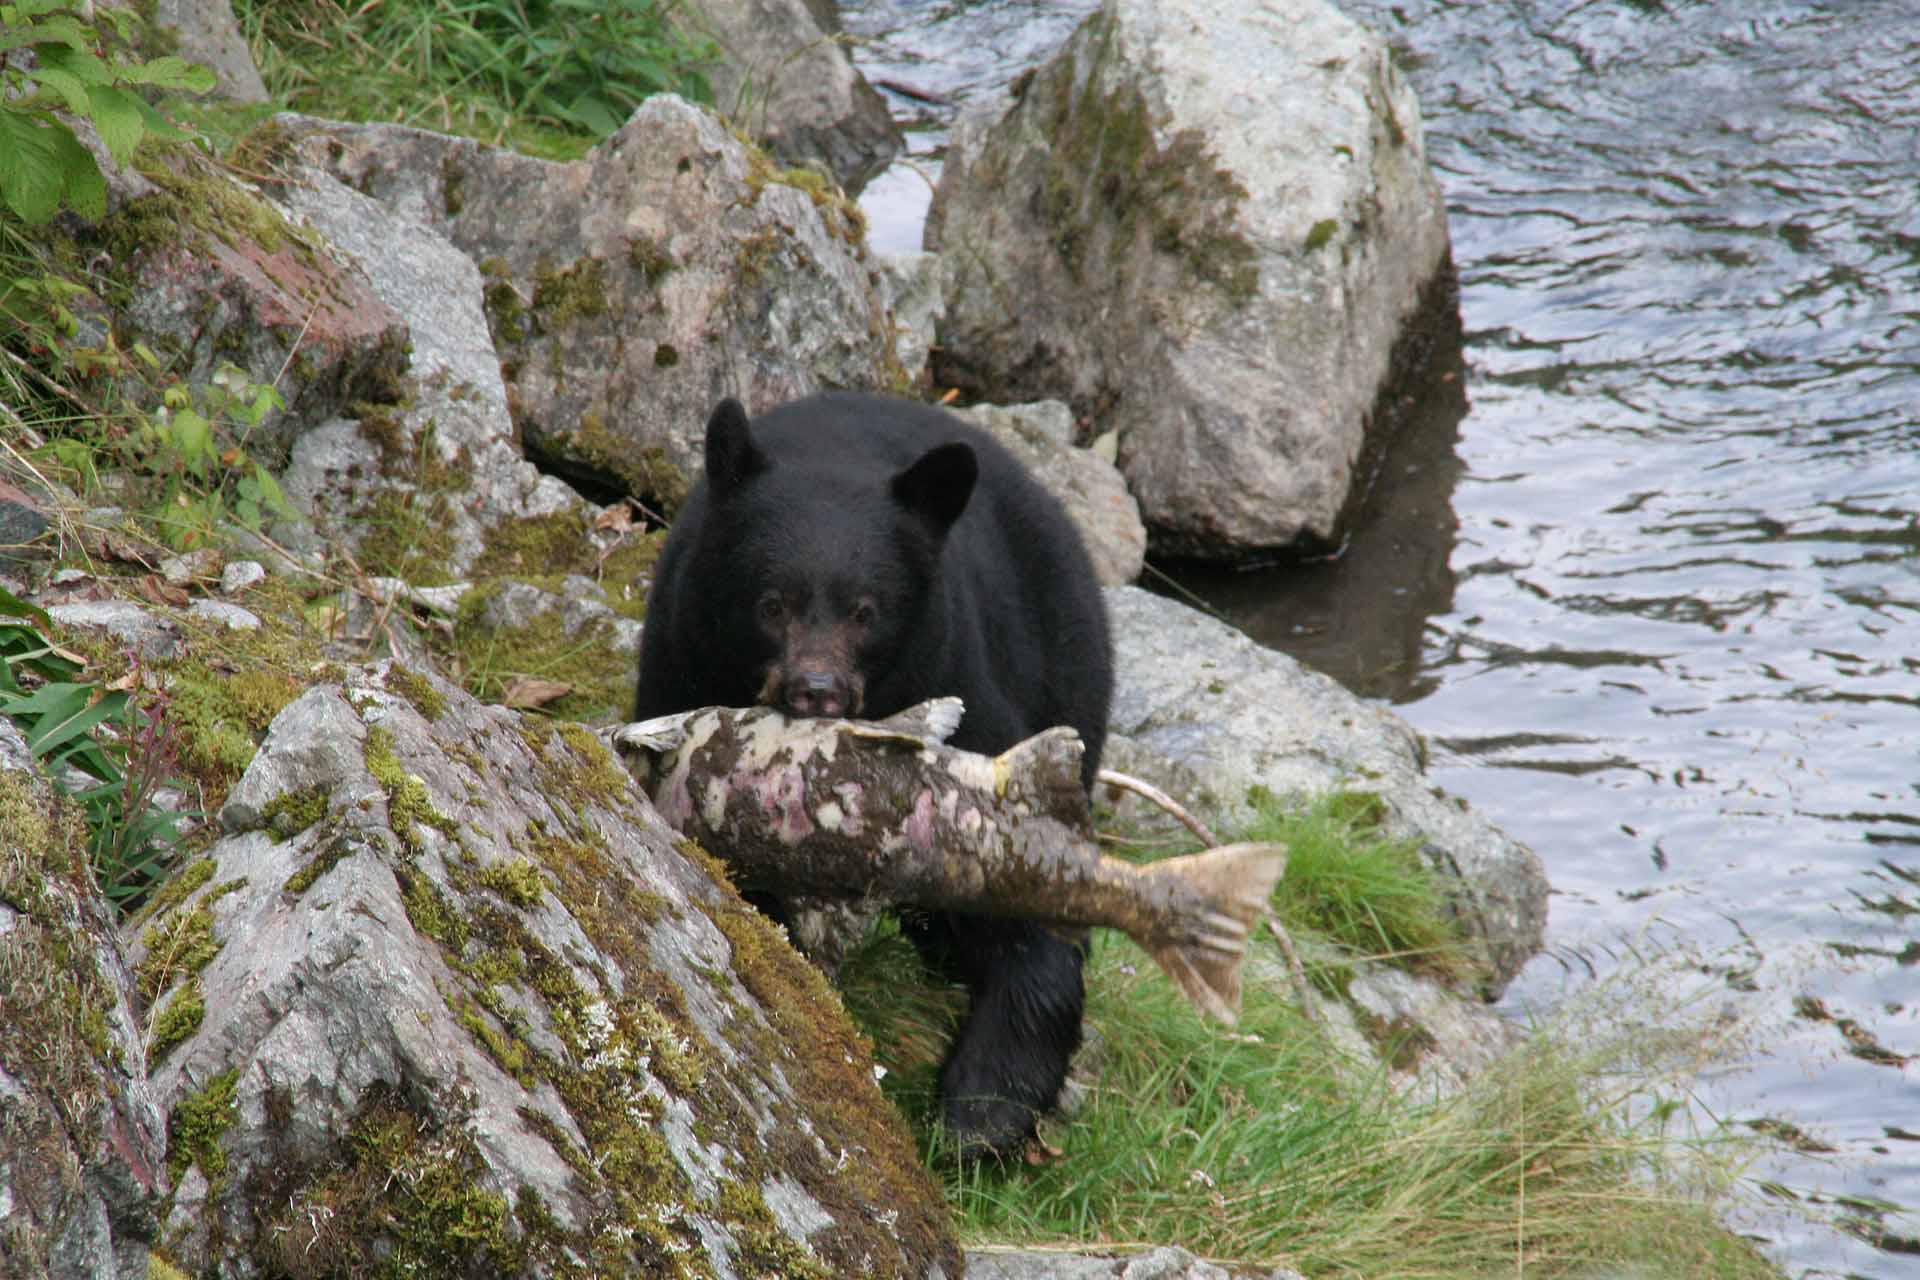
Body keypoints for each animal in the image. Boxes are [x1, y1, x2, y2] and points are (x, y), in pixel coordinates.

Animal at [635, 390, 1114, 1157]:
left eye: (866, 611)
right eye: (771, 603)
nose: (817, 691)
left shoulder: (961, 681)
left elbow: (1029, 876)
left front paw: (983, 1111)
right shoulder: (680, 665)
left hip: (1068, 675)